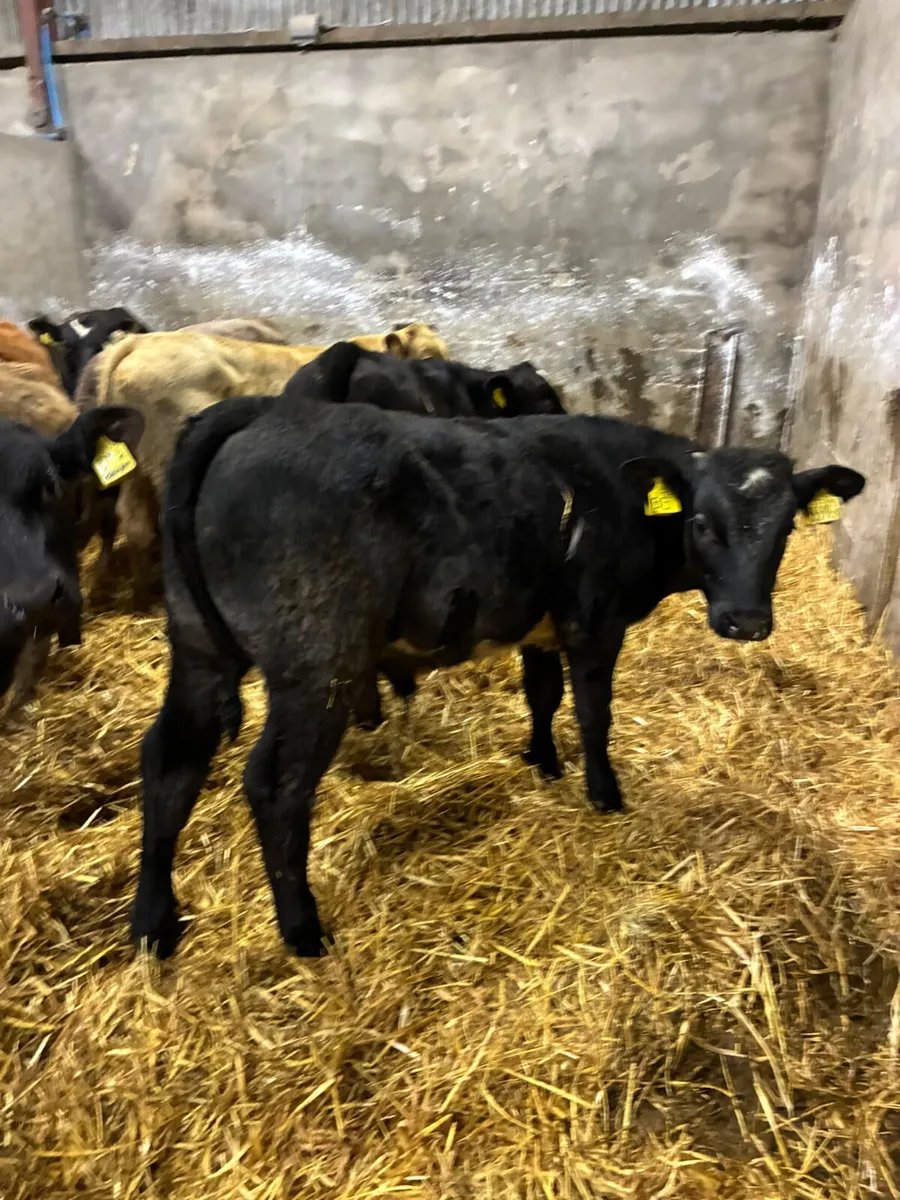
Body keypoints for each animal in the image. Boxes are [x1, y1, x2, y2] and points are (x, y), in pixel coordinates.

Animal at [129, 342, 865, 958]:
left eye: (784, 531)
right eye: (704, 524)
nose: (746, 621)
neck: (618, 491)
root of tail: (252, 413)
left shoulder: (538, 624)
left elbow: (543, 695)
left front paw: (542, 761)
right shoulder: (595, 623)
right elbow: (593, 713)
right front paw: (603, 793)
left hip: (199, 648)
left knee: (171, 762)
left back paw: (152, 923)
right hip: (317, 668)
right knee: (275, 785)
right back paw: (302, 929)